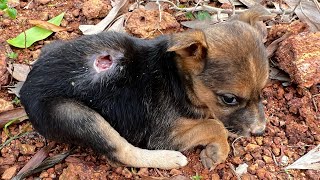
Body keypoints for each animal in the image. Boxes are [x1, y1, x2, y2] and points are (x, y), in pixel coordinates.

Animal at [20, 7, 268, 169]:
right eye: (229, 99)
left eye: (262, 92)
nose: (260, 132)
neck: (178, 79)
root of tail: (26, 87)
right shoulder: (163, 136)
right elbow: (214, 125)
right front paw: (216, 152)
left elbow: (215, 122)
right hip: (74, 114)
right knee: (121, 151)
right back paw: (170, 159)